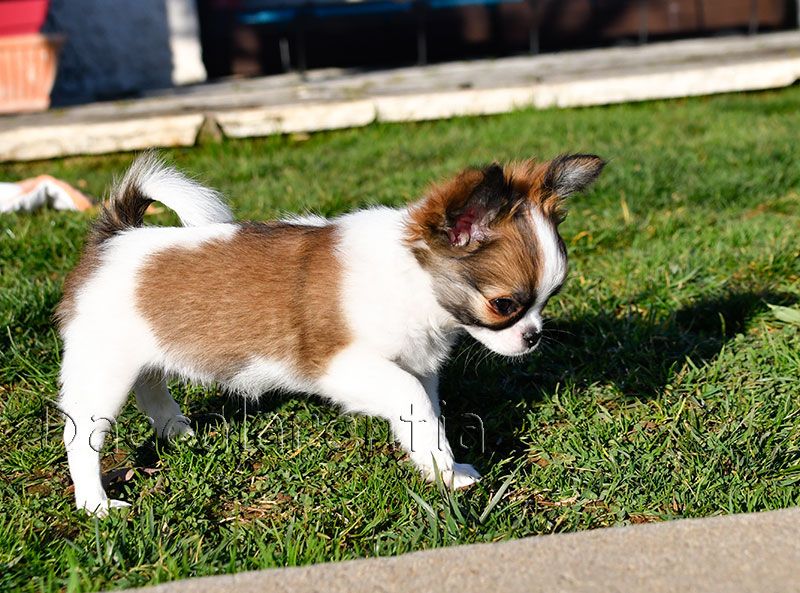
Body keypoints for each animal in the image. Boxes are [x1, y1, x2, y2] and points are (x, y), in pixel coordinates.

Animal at [56, 152, 604, 515]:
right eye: (504, 305)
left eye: (550, 298)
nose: (533, 336)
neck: (411, 279)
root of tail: (116, 236)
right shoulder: (345, 367)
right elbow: (413, 402)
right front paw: (444, 469)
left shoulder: (415, 366)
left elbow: (423, 417)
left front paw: (442, 470)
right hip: (102, 372)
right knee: (81, 438)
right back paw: (96, 504)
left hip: (141, 356)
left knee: (152, 386)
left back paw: (178, 431)